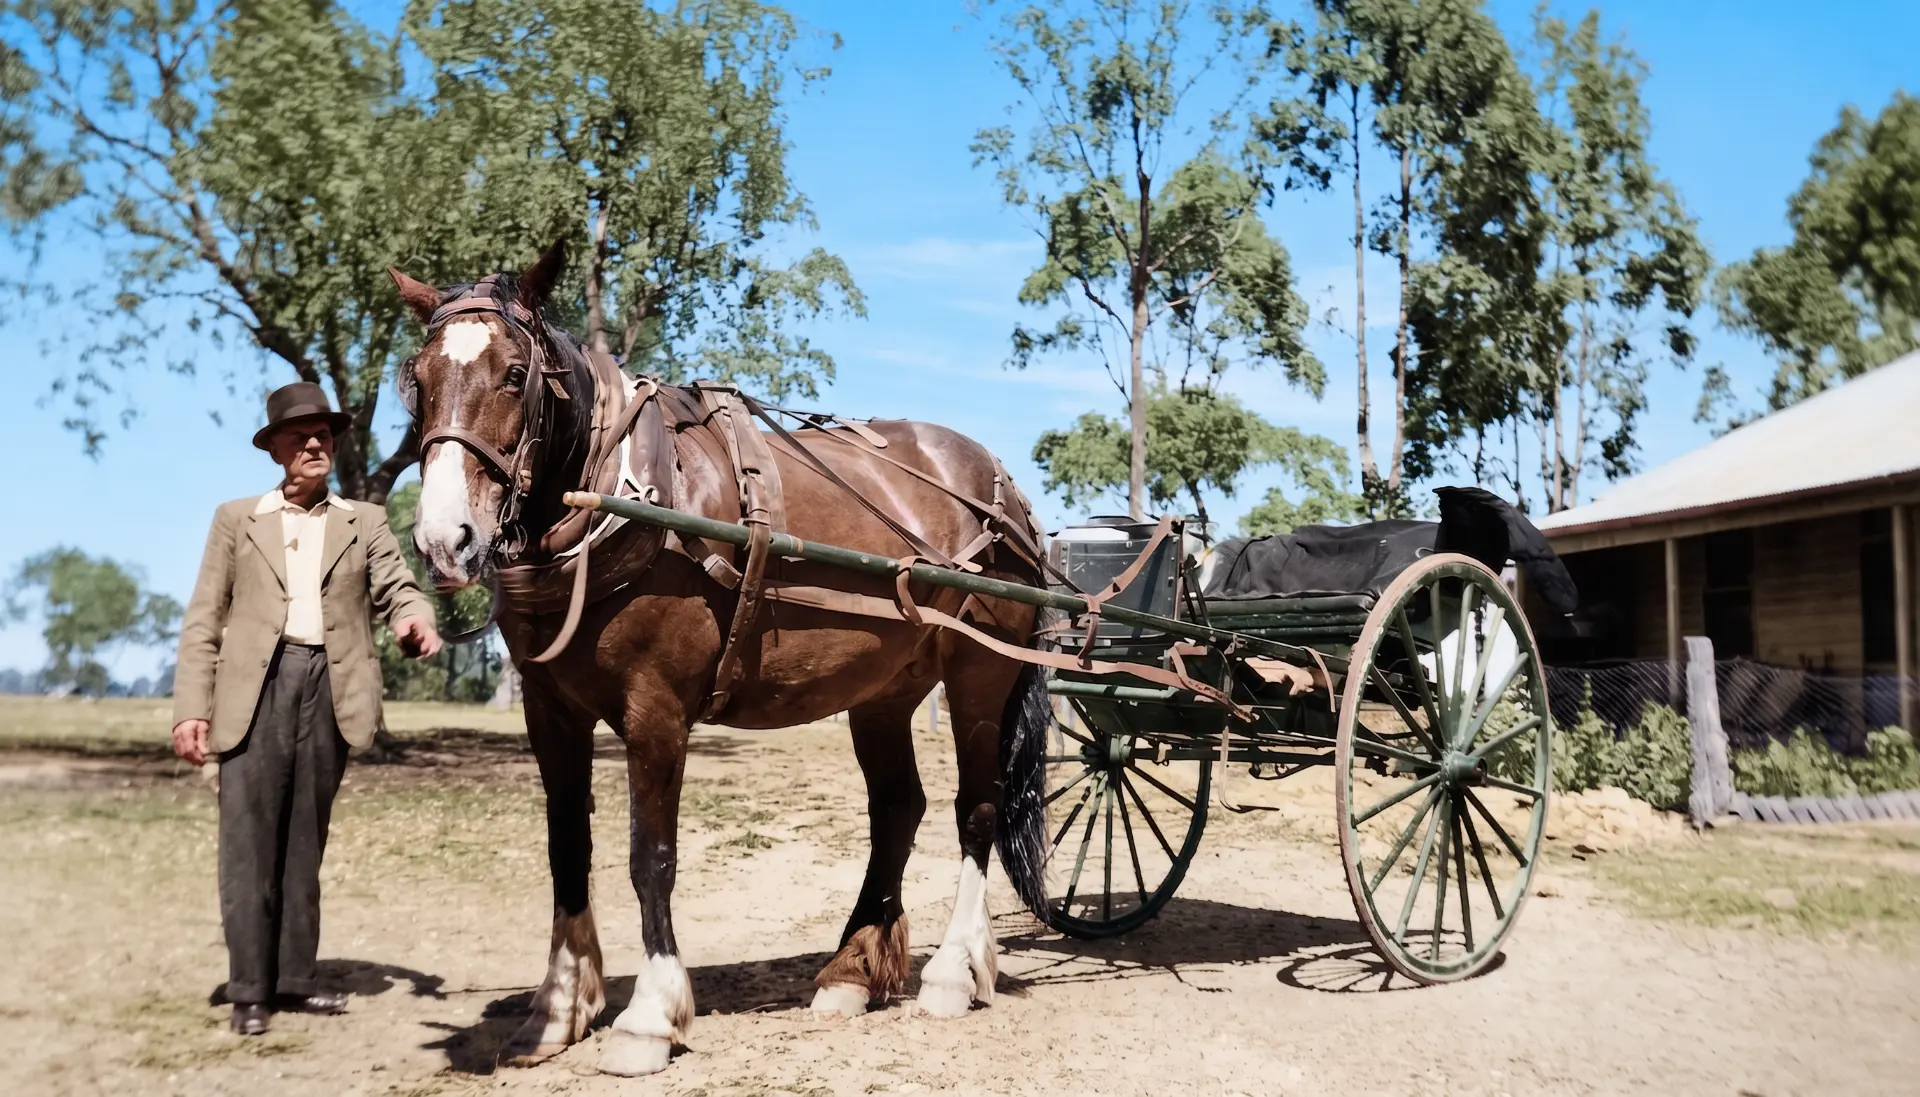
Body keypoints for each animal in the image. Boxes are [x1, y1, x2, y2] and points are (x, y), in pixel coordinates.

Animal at [386, 240, 1055, 1077]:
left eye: (513, 373)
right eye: (418, 377)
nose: (445, 539)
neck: (627, 497)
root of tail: (1007, 490)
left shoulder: (656, 711)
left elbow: (651, 855)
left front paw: (649, 1014)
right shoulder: (550, 713)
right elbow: (567, 846)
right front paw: (558, 1007)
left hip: (977, 677)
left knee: (977, 810)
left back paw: (954, 971)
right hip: (884, 691)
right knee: (898, 810)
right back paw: (850, 970)